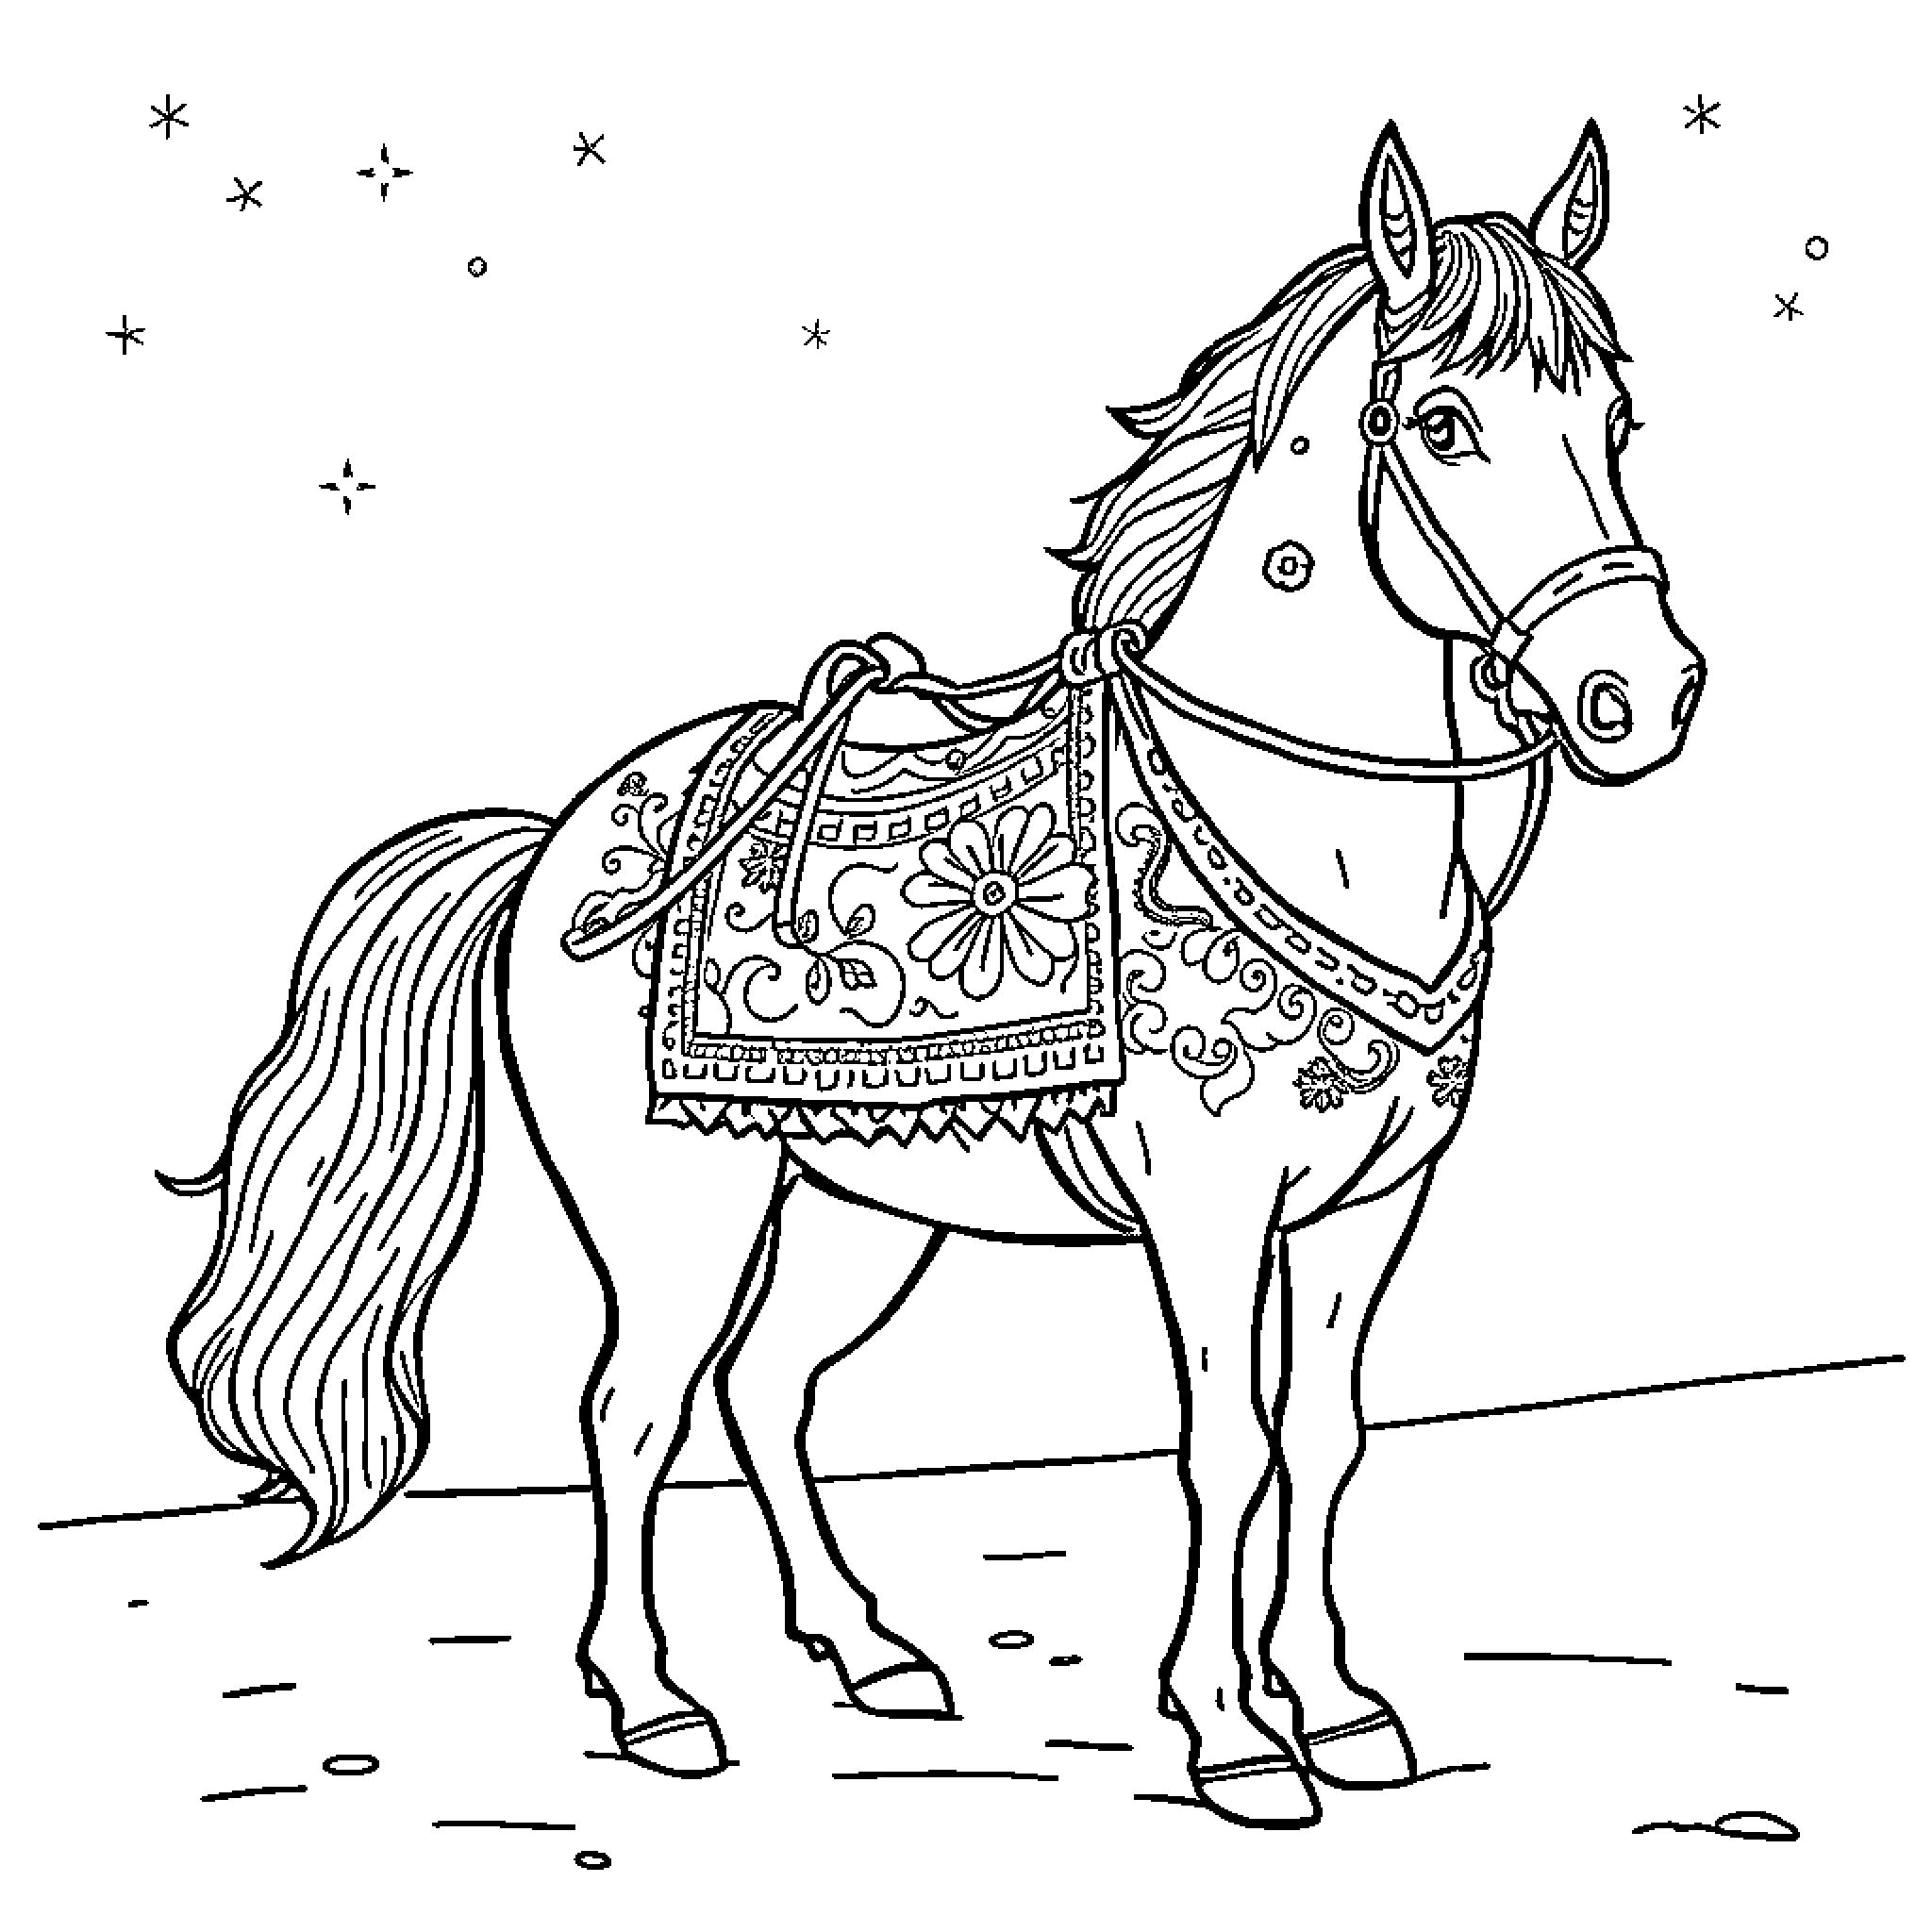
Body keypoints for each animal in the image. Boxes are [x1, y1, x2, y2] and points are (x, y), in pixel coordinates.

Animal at [163, 121, 1705, 1830]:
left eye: (1615, 419)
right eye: (1440, 423)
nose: (1640, 694)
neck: (1299, 823)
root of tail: (561, 835)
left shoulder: (1367, 1208)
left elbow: (1324, 1432)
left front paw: (1339, 1706)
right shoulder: (1209, 1209)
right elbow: (1224, 1445)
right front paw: (1231, 1732)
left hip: (860, 1204)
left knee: (763, 1390)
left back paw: (869, 1649)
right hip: (672, 1213)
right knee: (631, 1408)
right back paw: (652, 1701)